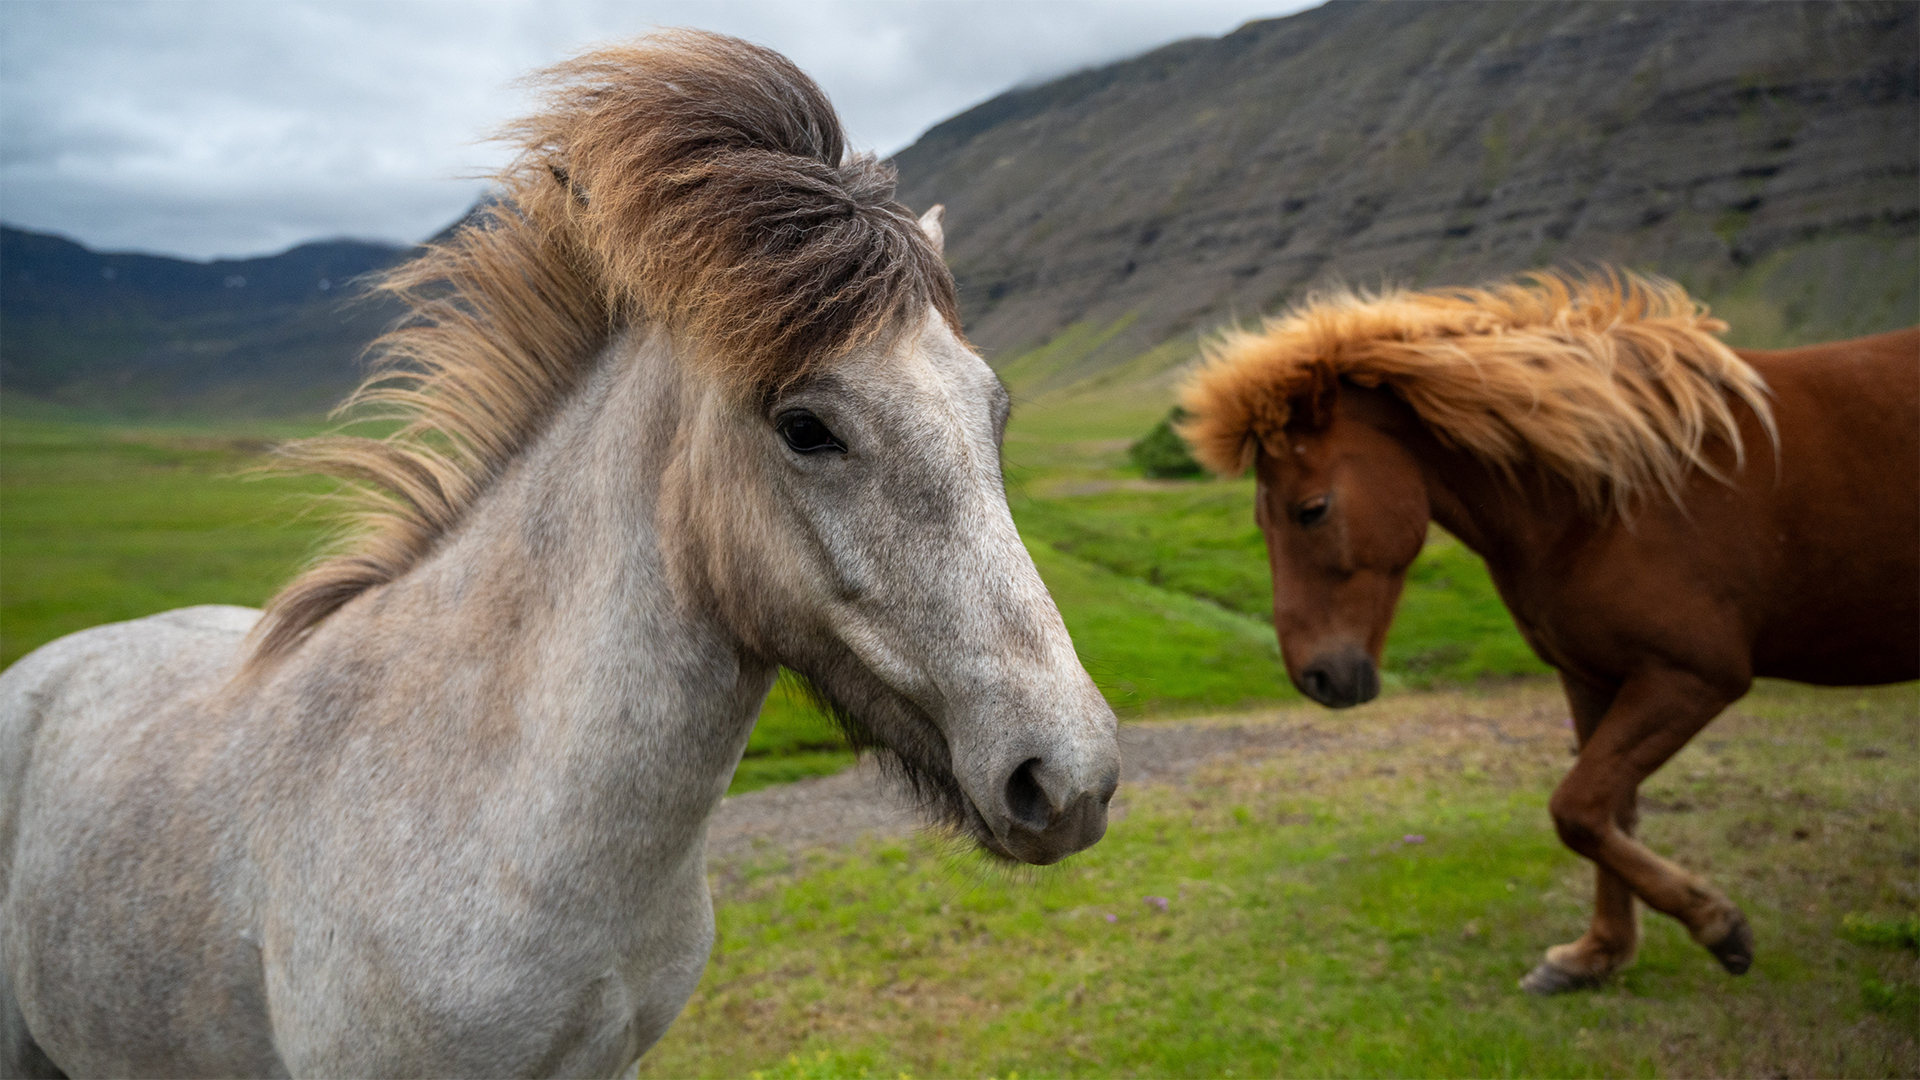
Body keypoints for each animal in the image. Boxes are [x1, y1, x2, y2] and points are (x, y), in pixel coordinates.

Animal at [1178, 270, 1918, 994]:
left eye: (1312, 509)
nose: (1316, 678)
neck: (1614, 491)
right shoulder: (1593, 676)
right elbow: (1606, 813)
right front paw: (1598, 955)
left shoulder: (1693, 676)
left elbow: (1579, 808)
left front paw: (1718, 926)